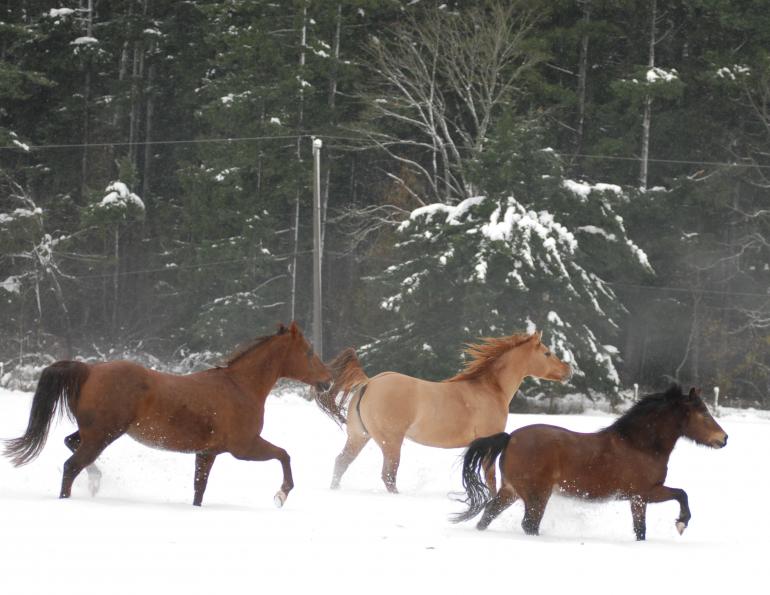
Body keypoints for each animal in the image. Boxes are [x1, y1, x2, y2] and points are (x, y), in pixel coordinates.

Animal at [3, 321, 332, 508]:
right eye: (308, 352)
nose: (327, 380)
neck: (240, 386)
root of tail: (89, 370)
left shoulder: (207, 453)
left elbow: (199, 489)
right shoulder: (245, 447)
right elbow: (284, 455)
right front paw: (281, 495)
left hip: (94, 433)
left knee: (72, 446)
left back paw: (96, 480)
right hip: (102, 435)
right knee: (71, 466)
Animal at [316, 331, 572, 494]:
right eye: (547, 353)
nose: (568, 371)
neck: (489, 389)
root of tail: (369, 383)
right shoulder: (490, 441)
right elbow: (491, 478)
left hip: (359, 436)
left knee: (341, 462)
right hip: (391, 442)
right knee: (388, 475)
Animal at [452, 384, 728, 540]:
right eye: (703, 413)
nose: (724, 438)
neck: (639, 445)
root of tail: (510, 438)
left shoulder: (638, 499)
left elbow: (641, 530)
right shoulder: (645, 493)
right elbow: (682, 494)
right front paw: (682, 523)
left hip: (510, 491)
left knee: (487, 515)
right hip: (537, 495)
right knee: (529, 524)